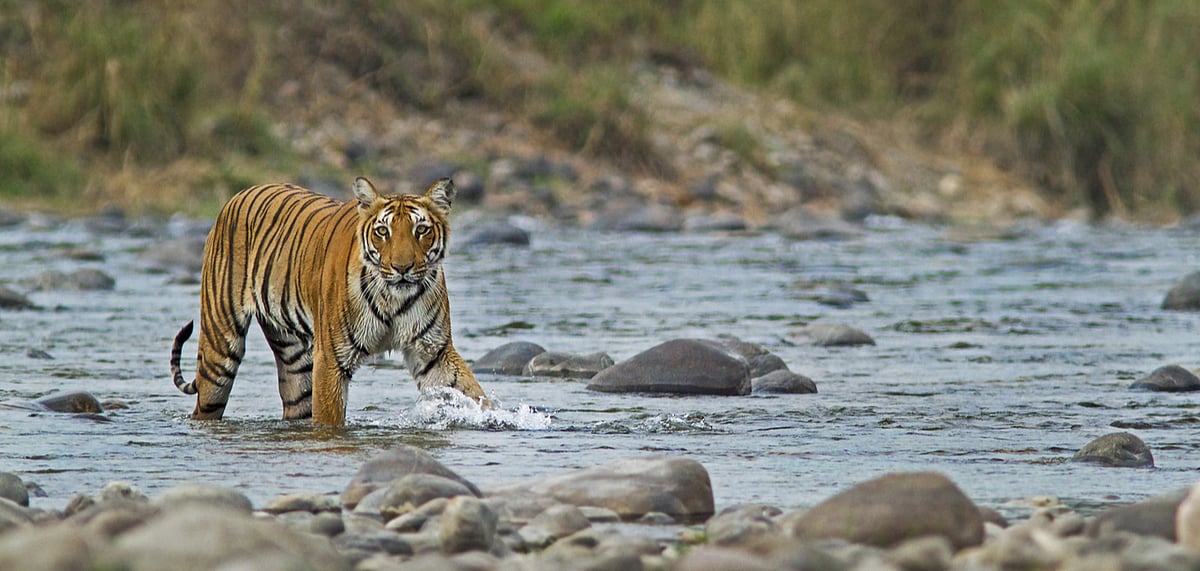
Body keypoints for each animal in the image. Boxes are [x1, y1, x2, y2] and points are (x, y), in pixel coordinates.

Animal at [168, 176, 488, 425]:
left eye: (421, 230)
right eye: (382, 231)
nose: (402, 268)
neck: (393, 298)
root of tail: (238, 195)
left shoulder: (433, 351)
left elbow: (472, 393)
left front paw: (494, 418)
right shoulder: (332, 358)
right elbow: (329, 419)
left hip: (295, 362)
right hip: (220, 348)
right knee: (206, 402)